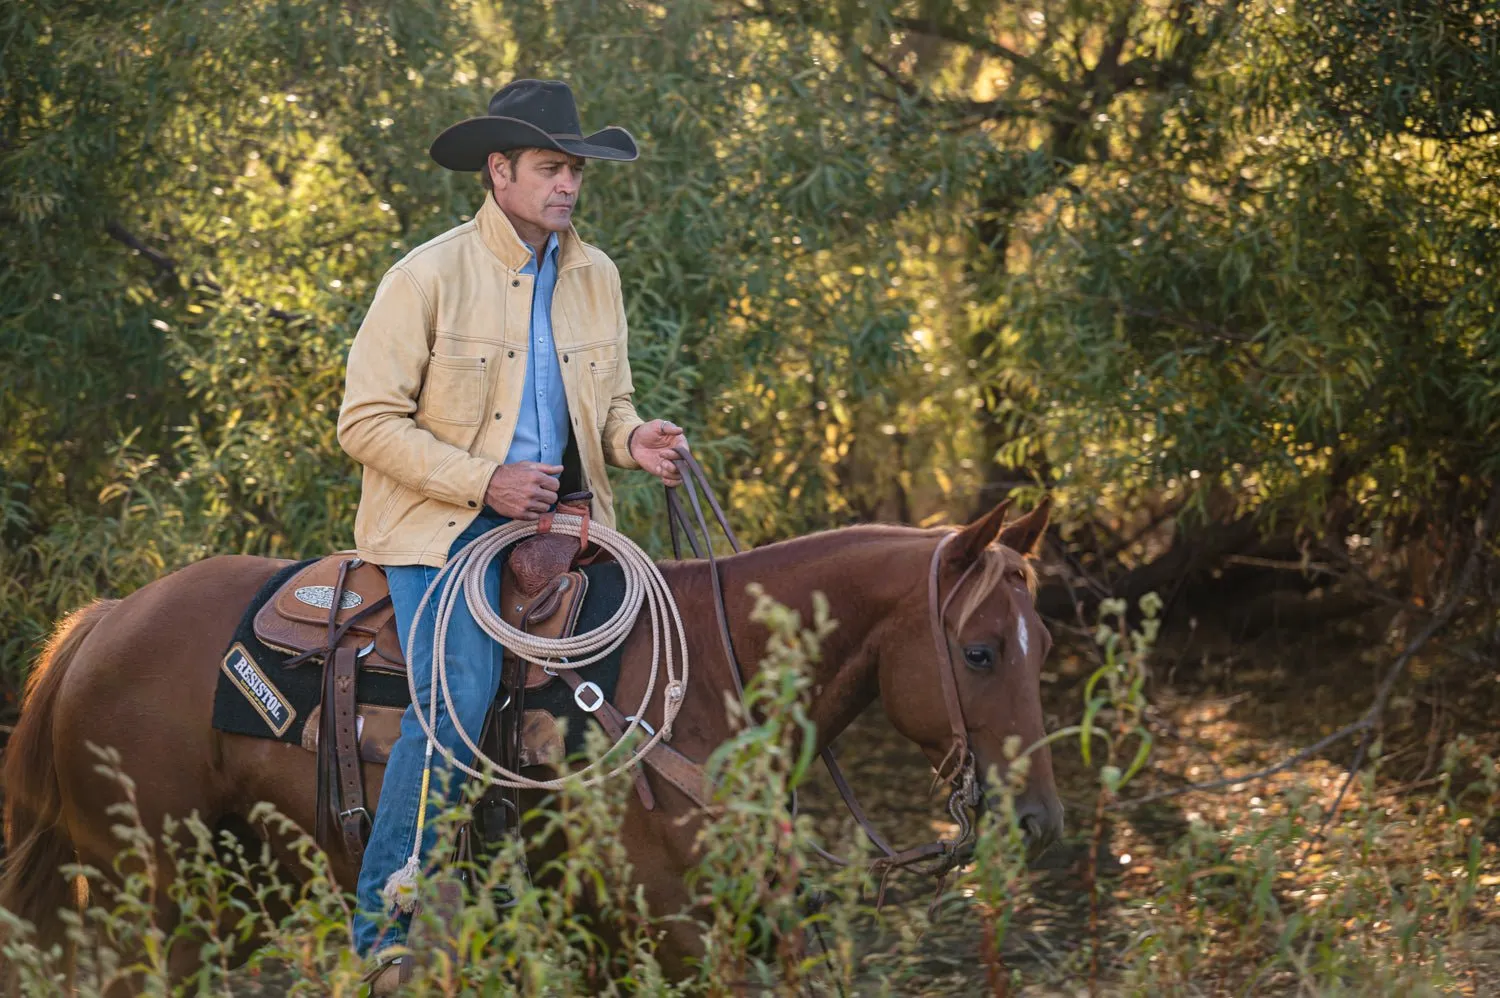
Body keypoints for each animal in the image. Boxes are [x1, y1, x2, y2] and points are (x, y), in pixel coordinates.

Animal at [0, 498, 1062, 978]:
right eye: (977, 652)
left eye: (1043, 644)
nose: (1041, 824)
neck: (714, 685)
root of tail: (104, 622)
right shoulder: (672, 930)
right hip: (155, 898)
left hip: (236, 892)